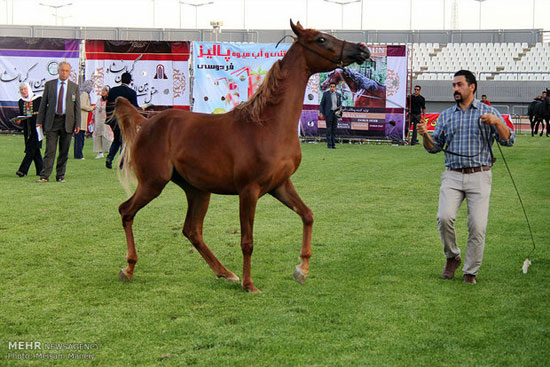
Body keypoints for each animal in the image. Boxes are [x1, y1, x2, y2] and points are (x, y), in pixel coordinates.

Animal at [114, 21, 370, 294]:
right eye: (321, 39)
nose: (362, 50)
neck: (267, 125)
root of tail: (145, 122)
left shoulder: (280, 185)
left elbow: (307, 215)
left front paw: (301, 269)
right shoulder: (249, 191)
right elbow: (247, 241)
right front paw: (250, 285)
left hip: (197, 190)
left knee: (192, 230)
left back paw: (225, 273)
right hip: (153, 183)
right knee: (126, 211)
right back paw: (128, 268)